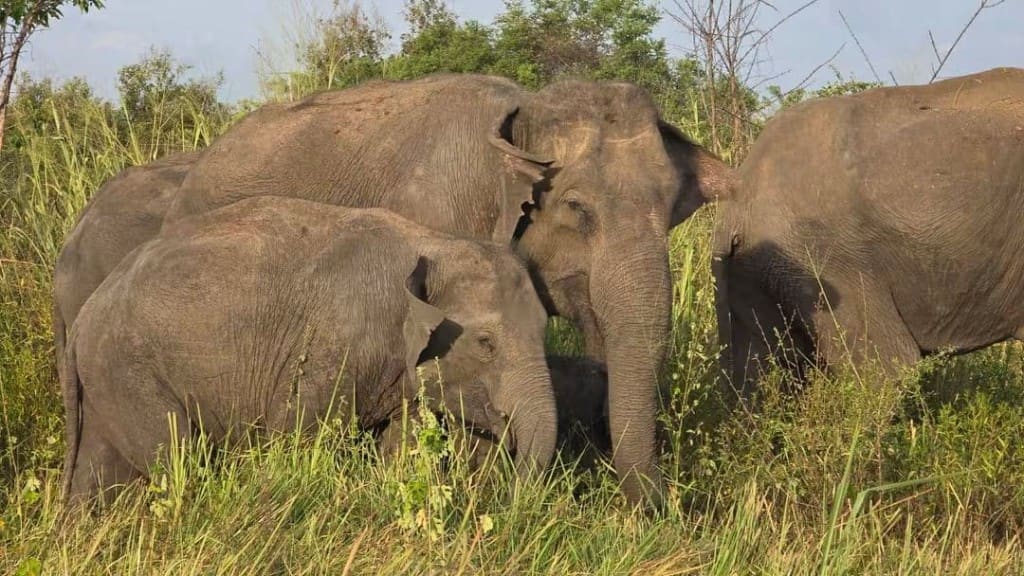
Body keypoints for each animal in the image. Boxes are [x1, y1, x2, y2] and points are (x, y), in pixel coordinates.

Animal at [61, 196, 557, 504]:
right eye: (486, 343)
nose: (504, 497)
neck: (433, 242)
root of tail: (81, 318)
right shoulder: (329, 349)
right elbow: (297, 441)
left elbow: (399, 447)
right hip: (129, 371)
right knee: (176, 458)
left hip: (109, 381)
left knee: (99, 472)